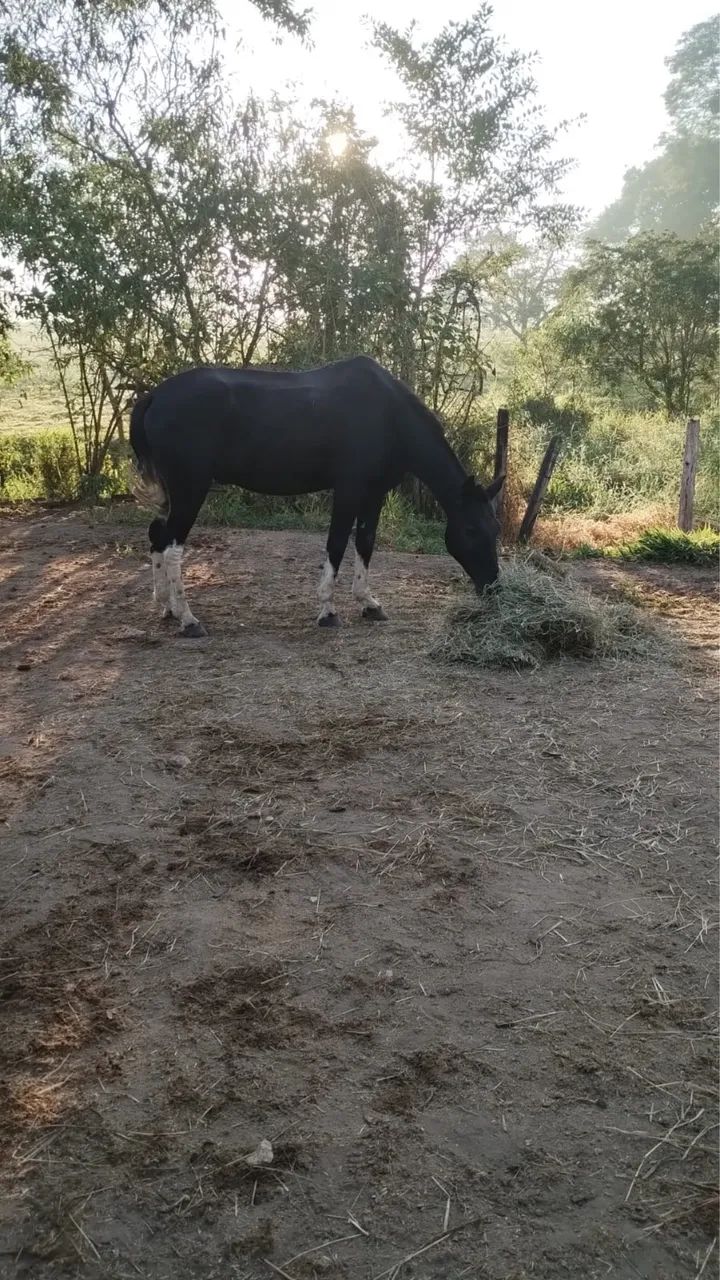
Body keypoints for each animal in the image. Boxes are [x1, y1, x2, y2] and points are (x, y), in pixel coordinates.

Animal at [129, 355, 504, 636]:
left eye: (496, 529)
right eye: (470, 530)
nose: (493, 588)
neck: (388, 414)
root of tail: (154, 396)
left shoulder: (374, 494)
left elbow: (365, 543)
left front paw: (369, 603)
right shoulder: (349, 489)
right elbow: (336, 544)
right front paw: (327, 610)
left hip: (175, 494)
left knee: (157, 535)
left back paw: (166, 607)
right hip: (190, 489)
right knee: (173, 547)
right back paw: (188, 618)